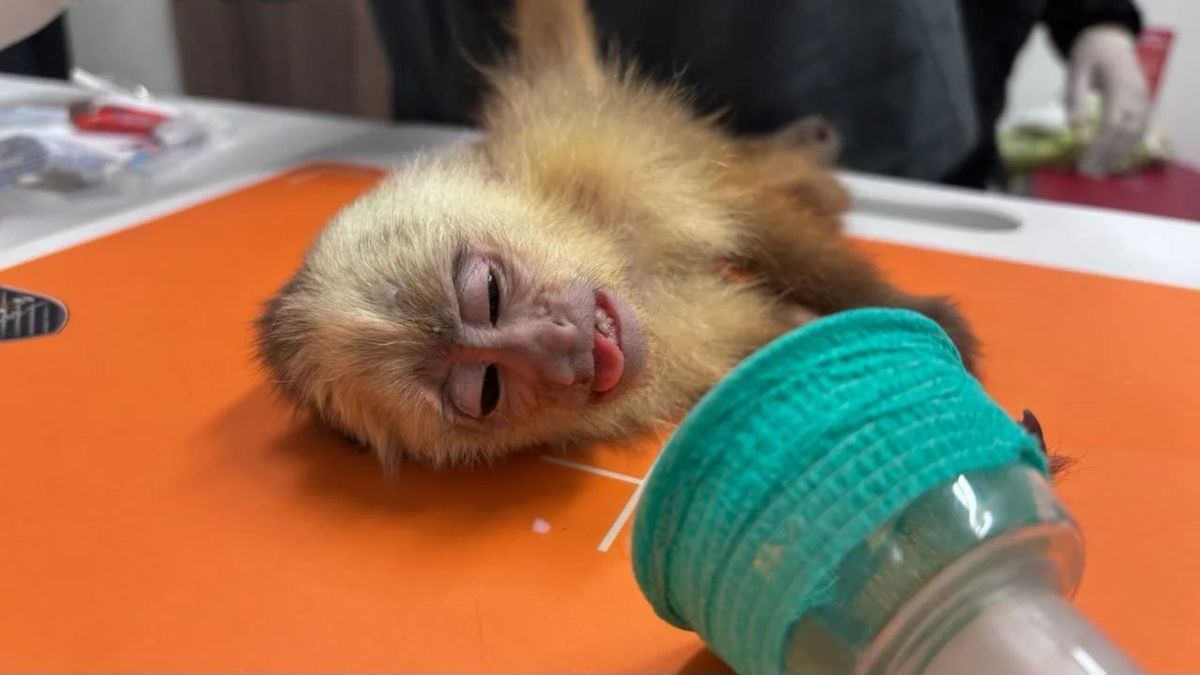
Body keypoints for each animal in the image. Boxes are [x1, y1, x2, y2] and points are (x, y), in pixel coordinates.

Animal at [255, 0, 981, 473]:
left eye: (488, 291)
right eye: (485, 389)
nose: (560, 342)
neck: (614, 257)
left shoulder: (590, 154)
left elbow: (754, 218)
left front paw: (924, 318)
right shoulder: (687, 341)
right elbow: (781, 334)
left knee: (742, 174)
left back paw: (805, 163)